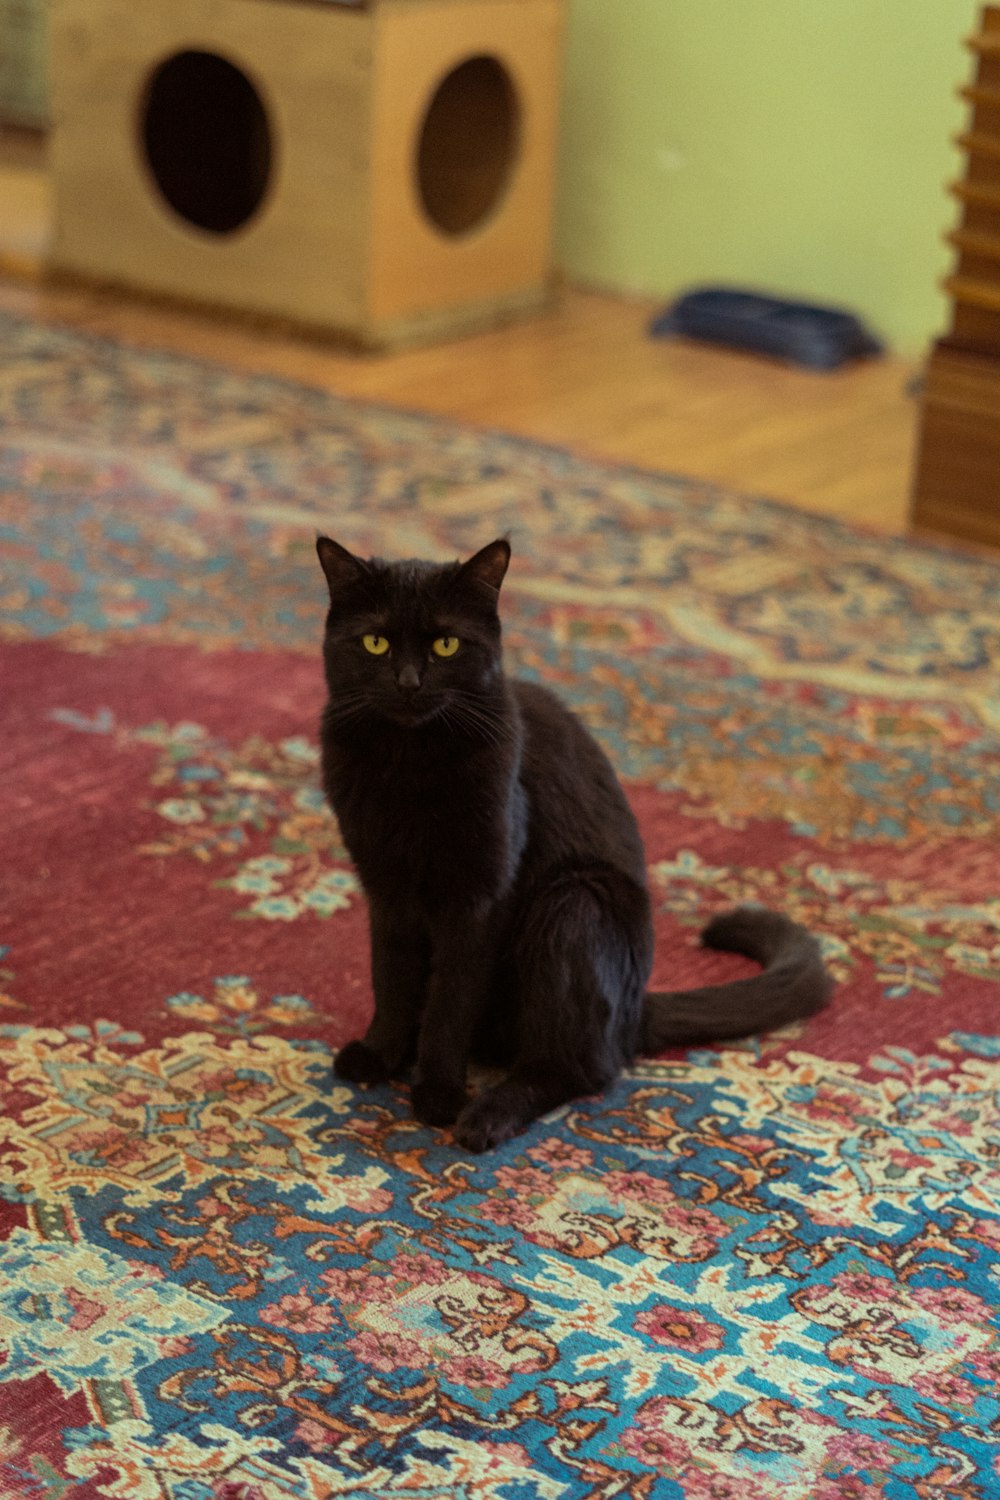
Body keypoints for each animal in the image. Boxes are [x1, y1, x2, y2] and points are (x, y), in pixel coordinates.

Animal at [316, 534, 833, 1152]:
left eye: (446, 644)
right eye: (375, 642)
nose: (409, 682)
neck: (406, 768)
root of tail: (635, 1010)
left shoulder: (481, 897)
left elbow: (451, 1000)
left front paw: (437, 1091)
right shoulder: (385, 887)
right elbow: (390, 977)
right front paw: (381, 1055)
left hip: (573, 903)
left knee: (578, 1067)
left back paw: (486, 1116)